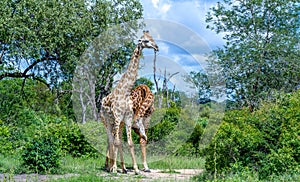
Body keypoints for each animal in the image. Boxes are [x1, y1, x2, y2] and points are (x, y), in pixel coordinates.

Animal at [100, 30, 159, 174]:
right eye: (146, 41)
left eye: (152, 38)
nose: (157, 47)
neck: (125, 91)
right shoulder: (118, 117)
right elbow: (116, 142)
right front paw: (114, 169)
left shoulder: (126, 118)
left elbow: (130, 143)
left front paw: (136, 169)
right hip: (107, 121)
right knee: (110, 140)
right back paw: (110, 167)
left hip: (116, 123)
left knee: (115, 140)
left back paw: (122, 167)